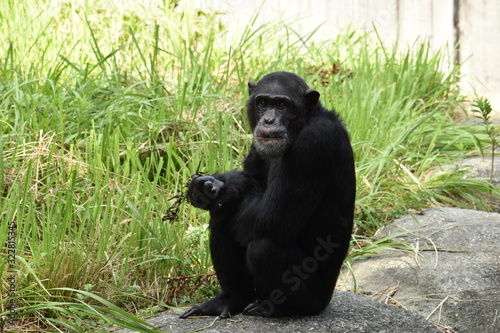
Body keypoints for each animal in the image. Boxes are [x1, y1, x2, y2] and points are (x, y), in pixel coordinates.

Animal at [180, 71, 356, 318]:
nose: (269, 120)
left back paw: (281, 307)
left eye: (282, 105)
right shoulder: (258, 142)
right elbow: (251, 177)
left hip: (319, 299)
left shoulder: (314, 143)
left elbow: (274, 217)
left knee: (262, 245)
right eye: (262, 103)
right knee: (223, 219)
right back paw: (232, 300)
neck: (303, 123)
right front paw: (206, 188)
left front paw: (226, 188)